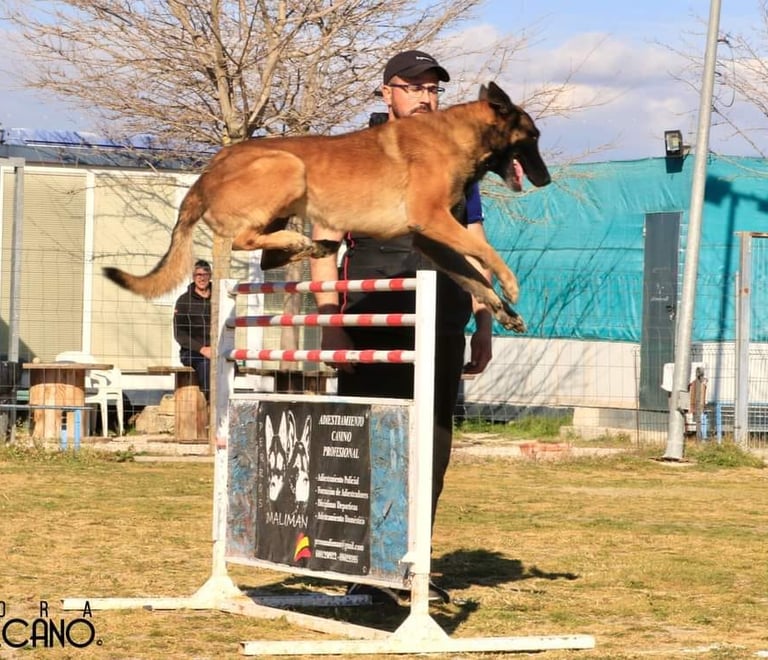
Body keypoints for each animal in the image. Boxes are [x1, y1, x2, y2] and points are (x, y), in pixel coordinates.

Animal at [103, 82, 550, 332]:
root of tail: (205, 173)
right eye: (533, 137)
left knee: (267, 255)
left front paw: (503, 309)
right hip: (288, 167)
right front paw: (510, 284)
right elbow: (485, 252)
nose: (547, 180)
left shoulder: (434, 240)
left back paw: (310, 245)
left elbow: (473, 277)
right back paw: (301, 242)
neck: (460, 135)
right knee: (244, 240)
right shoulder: (433, 221)